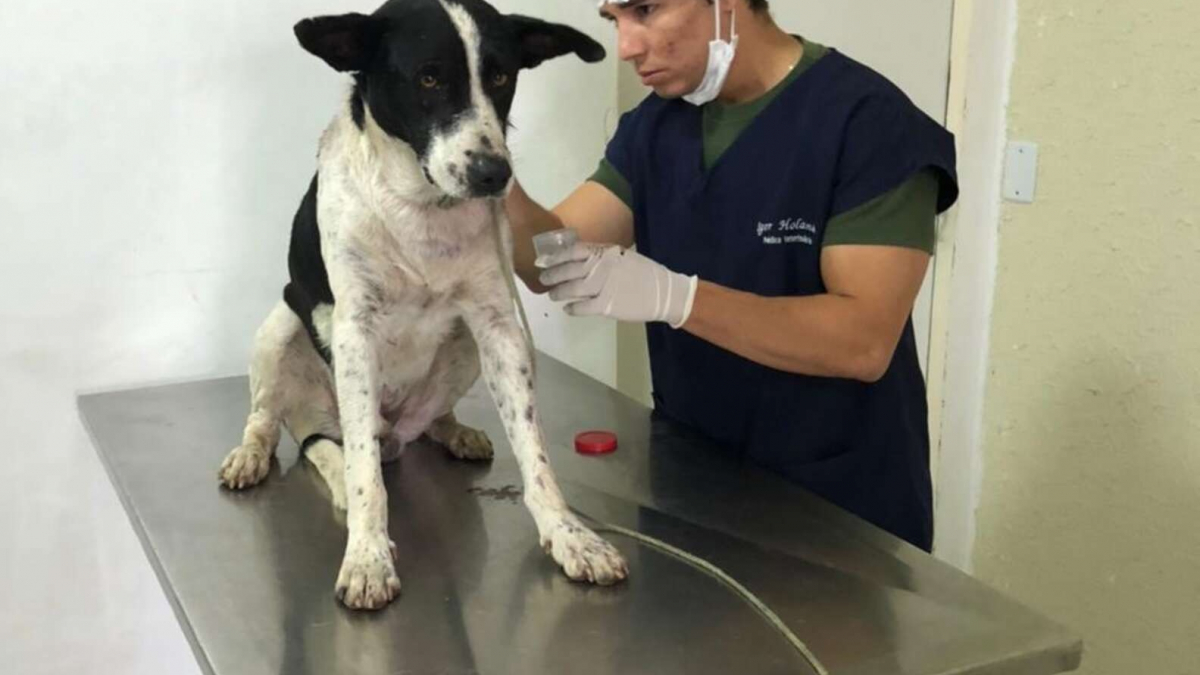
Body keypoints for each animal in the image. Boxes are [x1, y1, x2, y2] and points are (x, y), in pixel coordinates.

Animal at [218, 0, 628, 610]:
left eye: (501, 77)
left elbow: (535, 454)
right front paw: (367, 555)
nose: (494, 175)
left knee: (419, 422)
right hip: (279, 330)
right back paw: (259, 456)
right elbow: (365, 476)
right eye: (429, 78)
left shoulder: (499, 325)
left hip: (466, 350)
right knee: (288, 426)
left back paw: (451, 430)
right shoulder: (355, 331)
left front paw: (569, 535)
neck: (420, 207)